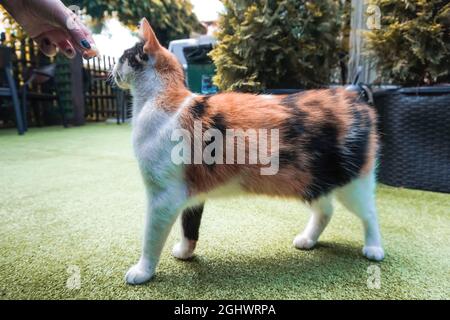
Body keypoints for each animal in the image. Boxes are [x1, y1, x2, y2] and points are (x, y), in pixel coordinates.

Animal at [111, 18, 384, 284]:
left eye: (123, 56)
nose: (111, 69)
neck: (161, 100)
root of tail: (356, 100)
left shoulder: (163, 197)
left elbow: (151, 238)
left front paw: (143, 271)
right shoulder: (190, 192)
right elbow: (189, 225)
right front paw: (185, 252)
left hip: (353, 183)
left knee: (370, 213)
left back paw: (374, 248)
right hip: (312, 180)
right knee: (326, 210)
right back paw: (308, 239)